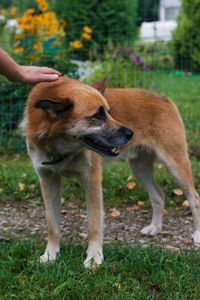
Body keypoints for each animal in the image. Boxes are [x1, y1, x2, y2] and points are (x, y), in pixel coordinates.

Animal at [20, 77, 200, 268]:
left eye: (109, 112)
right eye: (97, 116)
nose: (131, 133)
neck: (60, 148)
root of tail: (163, 97)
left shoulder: (91, 179)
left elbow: (94, 224)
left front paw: (94, 258)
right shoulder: (48, 181)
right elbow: (52, 225)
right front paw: (50, 255)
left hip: (175, 164)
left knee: (194, 198)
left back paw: (197, 233)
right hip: (139, 168)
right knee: (158, 196)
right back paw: (155, 228)